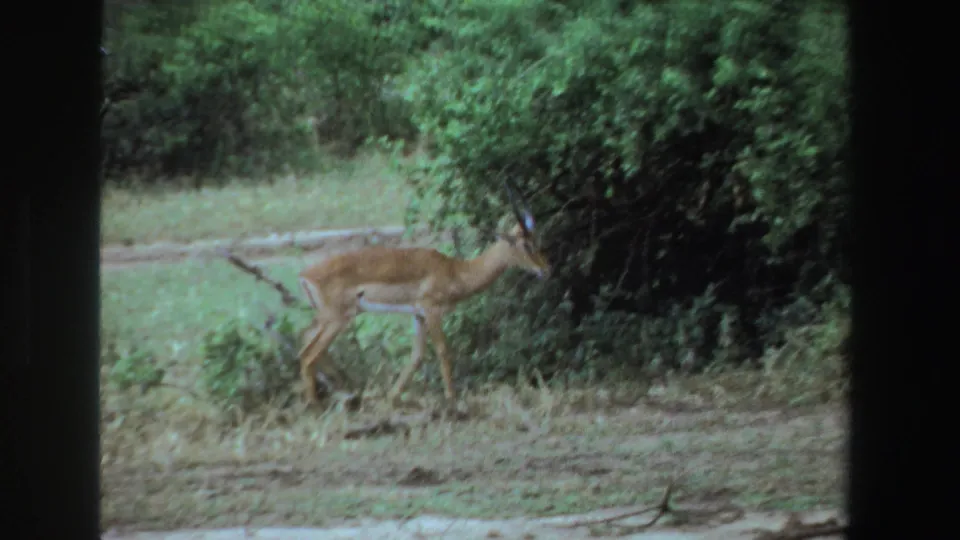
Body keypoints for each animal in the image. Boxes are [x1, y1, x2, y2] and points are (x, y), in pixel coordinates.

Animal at [297, 180, 550, 405]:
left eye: (539, 239)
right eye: (526, 245)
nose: (546, 269)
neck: (455, 271)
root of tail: (305, 275)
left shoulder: (417, 314)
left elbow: (417, 356)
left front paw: (393, 397)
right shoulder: (432, 311)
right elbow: (443, 351)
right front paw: (452, 399)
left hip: (327, 318)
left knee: (306, 343)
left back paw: (345, 390)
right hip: (338, 319)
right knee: (309, 355)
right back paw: (316, 405)